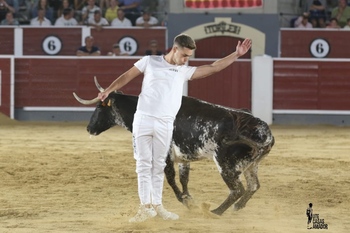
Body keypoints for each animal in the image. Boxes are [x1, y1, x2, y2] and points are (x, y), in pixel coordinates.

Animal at [74, 78, 274, 215]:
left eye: (99, 107)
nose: (89, 128)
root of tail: (266, 133)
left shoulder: (165, 155)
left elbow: (170, 178)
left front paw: (185, 201)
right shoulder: (184, 157)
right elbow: (184, 179)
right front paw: (189, 200)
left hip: (226, 164)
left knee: (237, 189)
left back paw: (215, 212)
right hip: (251, 165)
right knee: (253, 186)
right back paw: (236, 207)